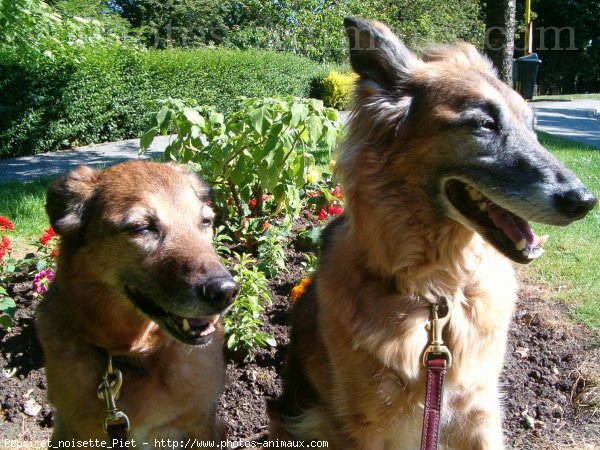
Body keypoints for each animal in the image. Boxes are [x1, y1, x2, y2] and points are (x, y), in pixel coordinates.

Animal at [270, 16, 596, 446]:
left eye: (532, 126)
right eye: (484, 124)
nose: (585, 201)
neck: (437, 297)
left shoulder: (479, 411)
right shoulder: (361, 428)